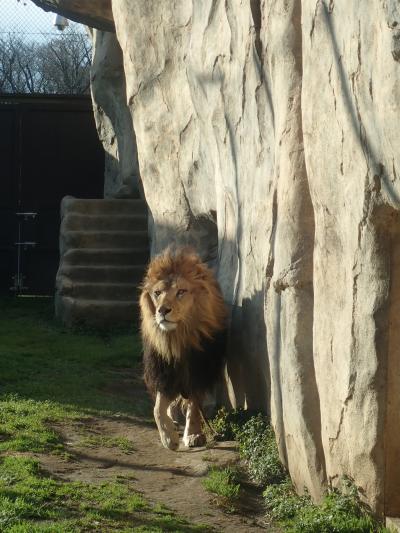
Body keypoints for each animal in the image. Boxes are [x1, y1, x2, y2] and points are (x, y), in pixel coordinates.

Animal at [140, 247, 228, 446]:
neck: (177, 338)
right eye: (157, 293)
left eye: (181, 291)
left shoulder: (198, 370)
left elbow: (194, 404)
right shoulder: (164, 371)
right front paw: (169, 438)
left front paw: (194, 434)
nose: (162, 310)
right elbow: (157, 409)